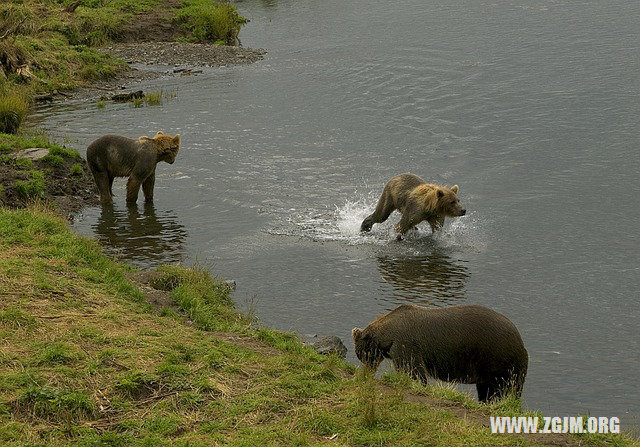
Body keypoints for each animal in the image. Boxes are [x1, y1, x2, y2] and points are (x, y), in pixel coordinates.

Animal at [352, 304, 528, 402]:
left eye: (362, 355)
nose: (366, 371)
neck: (387, 336)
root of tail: (519, 338)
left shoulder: (405, 346)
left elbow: (413, 372)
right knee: (487, 389)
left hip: (497, 358)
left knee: (504, 387)